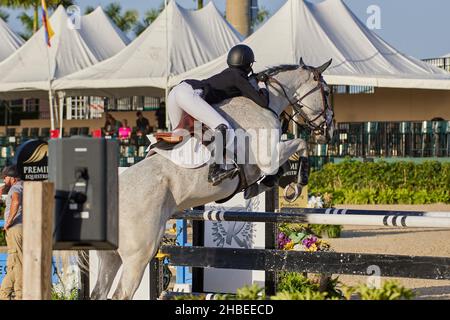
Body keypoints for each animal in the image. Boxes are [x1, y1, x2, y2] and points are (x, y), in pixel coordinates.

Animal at [90, 60, 334, 300]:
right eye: (327, 91)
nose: (328, 132)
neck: (265, 103)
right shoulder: (268, 158)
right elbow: (300, 145)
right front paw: (298, 183)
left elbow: (280, 167)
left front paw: (265, 186)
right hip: (139, 253)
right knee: (121, 294)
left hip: (111, 256)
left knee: (98, 293)